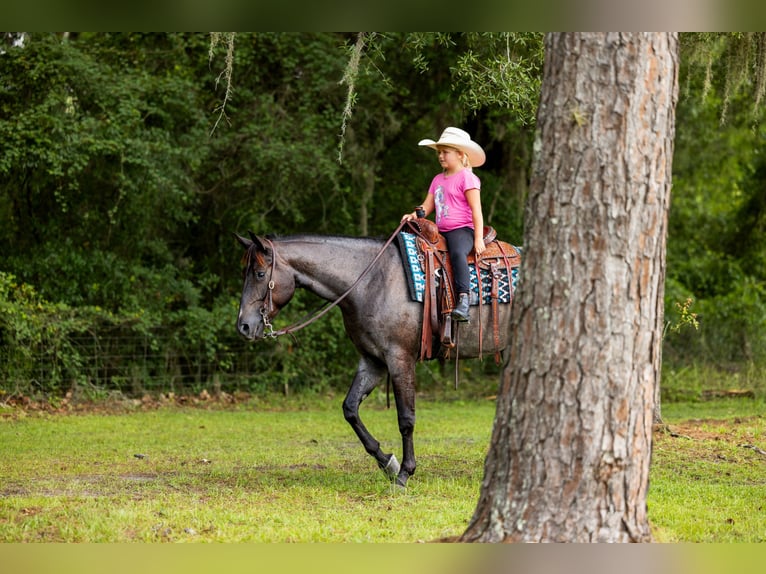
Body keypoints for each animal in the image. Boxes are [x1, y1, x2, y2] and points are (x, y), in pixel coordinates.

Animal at [235, 229, 516, 487]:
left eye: (259, 274)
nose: (243, 327)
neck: (369, 282)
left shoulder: (400, 359)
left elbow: (406, 419)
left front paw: (405, 473)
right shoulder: (373, 361)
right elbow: (350, 409)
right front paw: (387, 463)